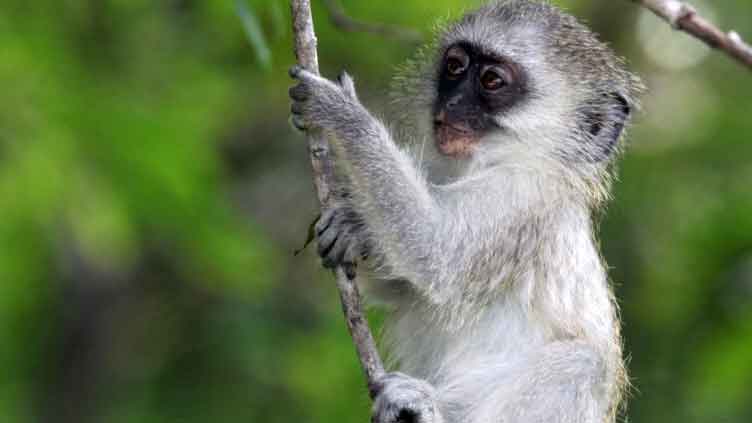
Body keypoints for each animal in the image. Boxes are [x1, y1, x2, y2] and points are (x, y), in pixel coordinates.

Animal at [289, 1, 643, 422]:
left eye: (491, 80)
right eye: (455, 66)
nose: (451, 104)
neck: (487, 162)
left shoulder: (522, 195)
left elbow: (437, 255)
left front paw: (344, 114)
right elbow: (404, 284)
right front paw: (352, 226)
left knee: (584, 363)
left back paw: (432, 409)